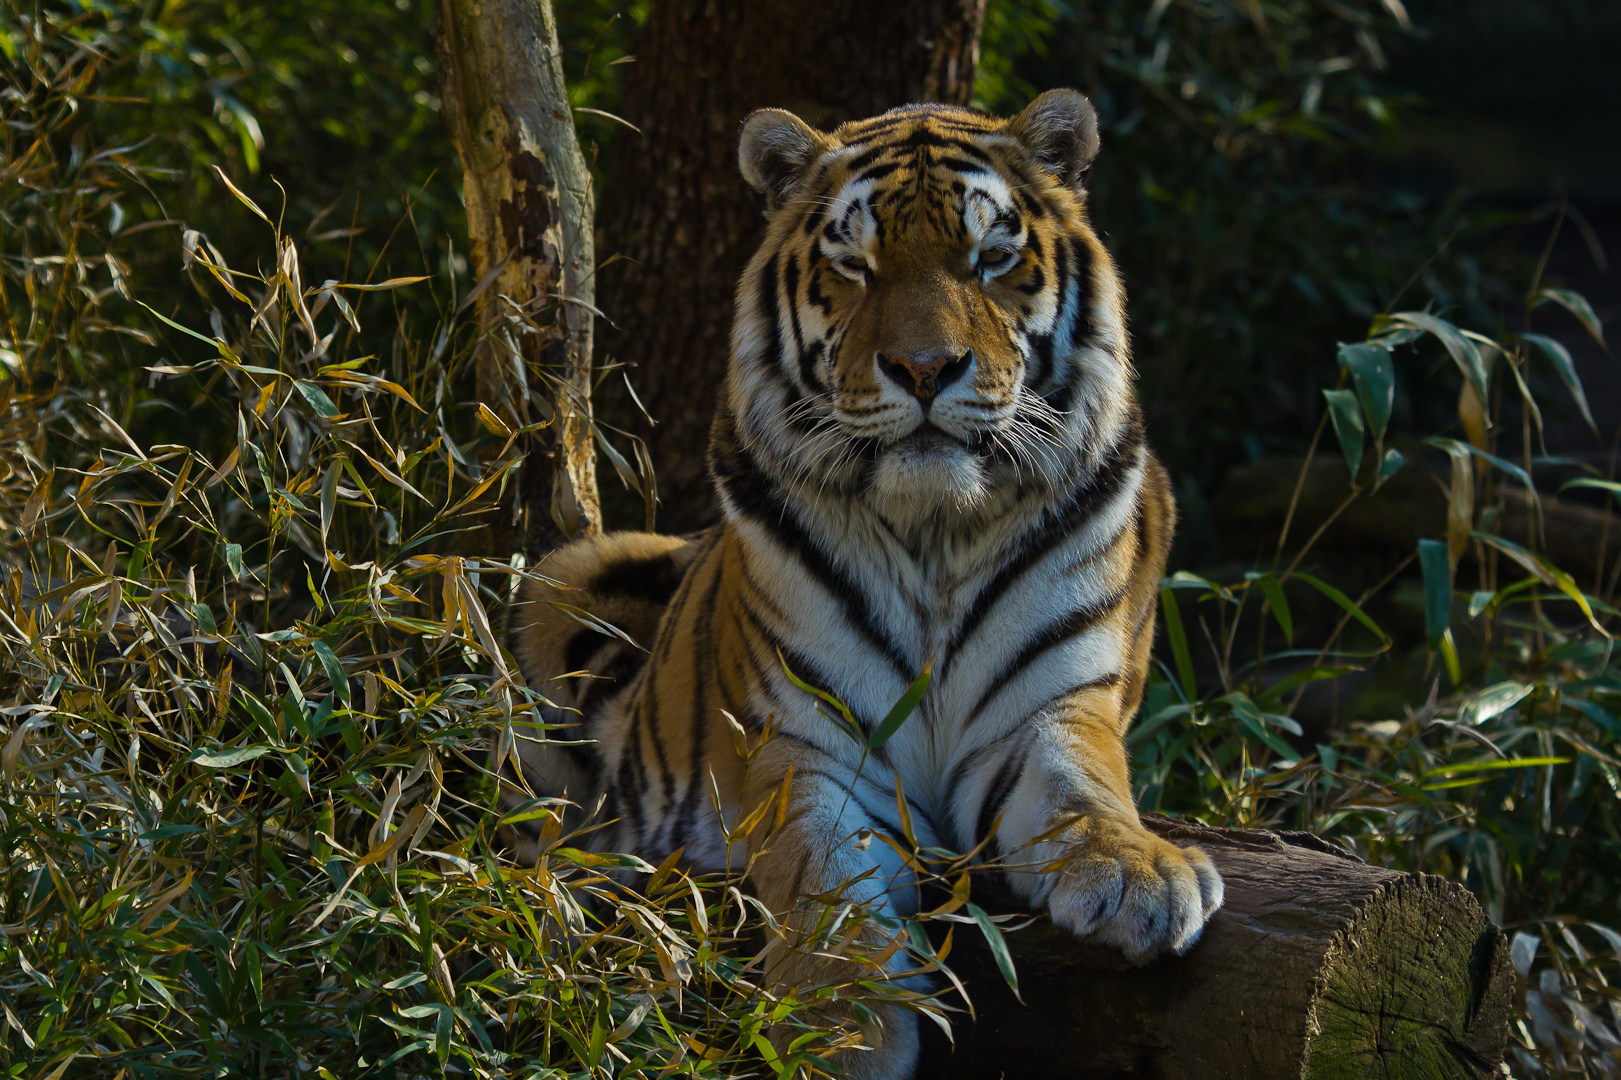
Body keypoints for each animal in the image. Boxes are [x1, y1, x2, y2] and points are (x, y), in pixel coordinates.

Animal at [502, 88, 1218, 1070]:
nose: (925, 369)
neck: (935, 531)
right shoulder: (811, 745)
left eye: (990, 258)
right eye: (854, 264)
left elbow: (1083, 781)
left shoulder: (1044, 707)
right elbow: (824, 887)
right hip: (559, 577)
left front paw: (1139, 872)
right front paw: (834, 1026)